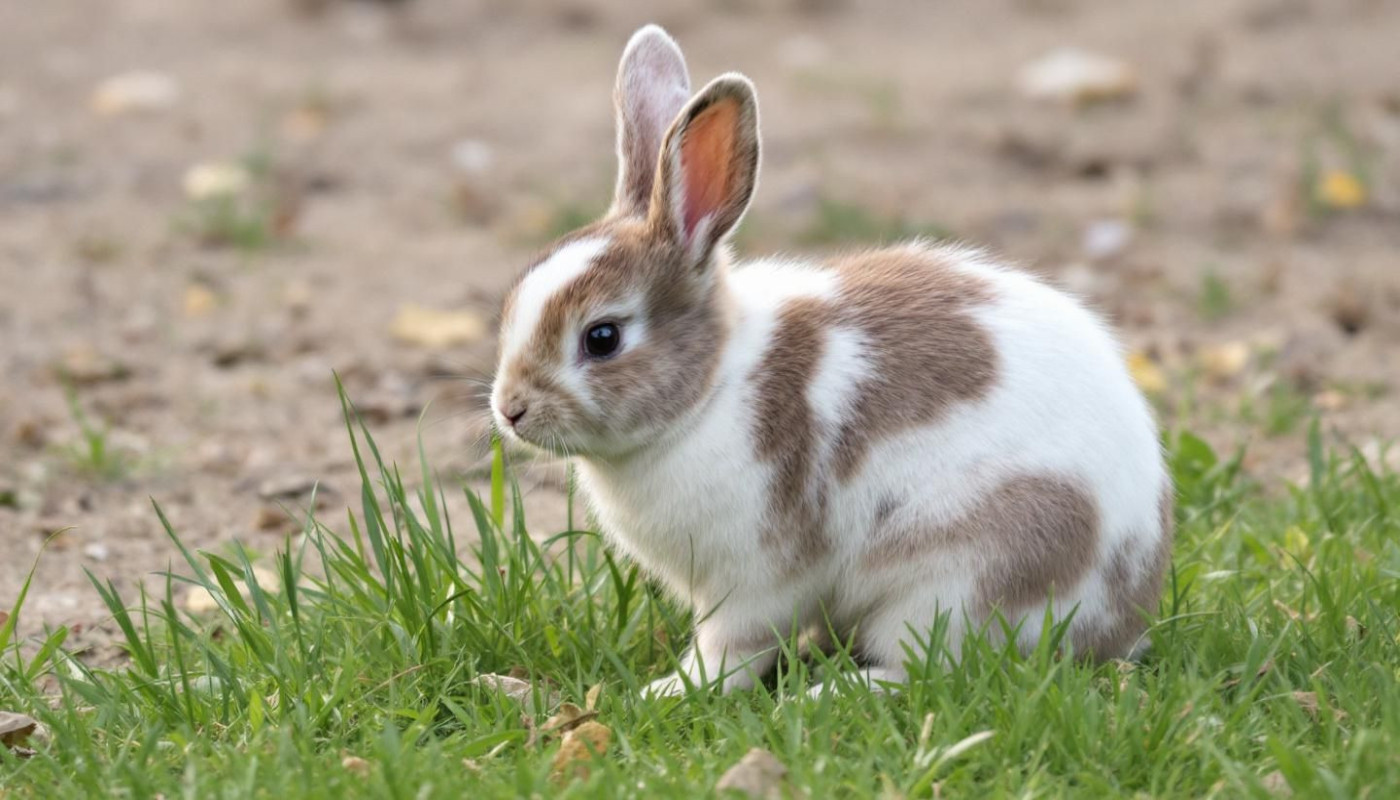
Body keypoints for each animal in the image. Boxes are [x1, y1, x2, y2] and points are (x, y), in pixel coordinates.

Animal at [489, 24, 1173, 697]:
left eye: (602, 337)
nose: (510, 410)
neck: (713, 389)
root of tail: (1120, 621)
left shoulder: (753, 582)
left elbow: (731, 651)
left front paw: (672, 690)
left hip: (952, 581)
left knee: (926, 671)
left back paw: (831, 690)